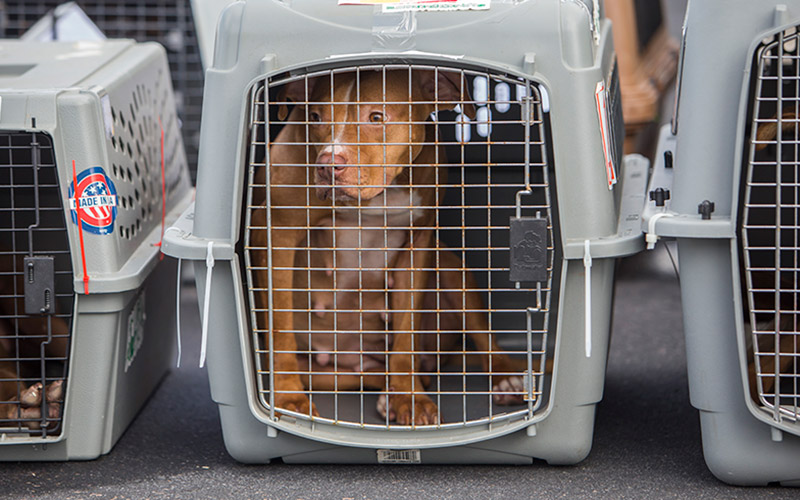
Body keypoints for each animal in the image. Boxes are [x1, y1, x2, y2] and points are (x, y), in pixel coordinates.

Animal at [244, 64, 556, 428]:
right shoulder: (275, 233)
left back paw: (504, 378)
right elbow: (281, 328)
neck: (380, 194)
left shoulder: (418, 243)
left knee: (479, 335)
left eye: (377, 117)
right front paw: (288, 399)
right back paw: (387, 391)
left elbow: (406, 329)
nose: (327, 164)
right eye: (315, 117)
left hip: (450, 267)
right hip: (326, 372)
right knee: (364, 373)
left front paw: (411, 398)